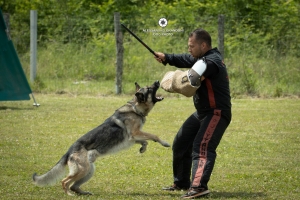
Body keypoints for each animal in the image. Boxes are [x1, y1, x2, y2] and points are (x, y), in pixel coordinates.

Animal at [32, 80, 170, 195]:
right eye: (149, 89)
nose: (157, 81)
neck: (135, 109)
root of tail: (69, 151)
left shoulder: (131, 138)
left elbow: (145, 141)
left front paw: (143, 148)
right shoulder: (135, 133)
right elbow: (153, 135)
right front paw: (165, 143)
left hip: (89, 170)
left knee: (73, 185)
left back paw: (83, 193)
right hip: (83, 169)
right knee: (65, 181)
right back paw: (69, 195)